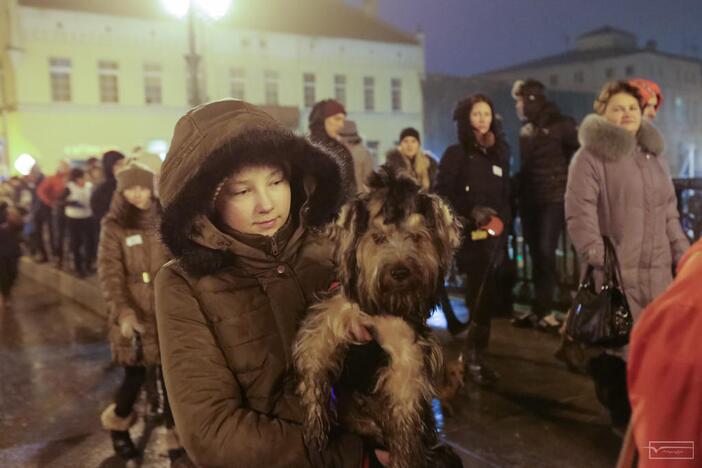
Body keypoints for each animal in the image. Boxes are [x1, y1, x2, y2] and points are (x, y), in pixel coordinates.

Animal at [294, 168, 464, 468]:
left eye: (416, 237)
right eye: (378, 238)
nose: (400, 271)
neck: (387, 305)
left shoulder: (406, 353)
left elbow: (406, 416)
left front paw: (405, 456)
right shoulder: (334, 314)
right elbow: (314, 356)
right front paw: (315, 423)